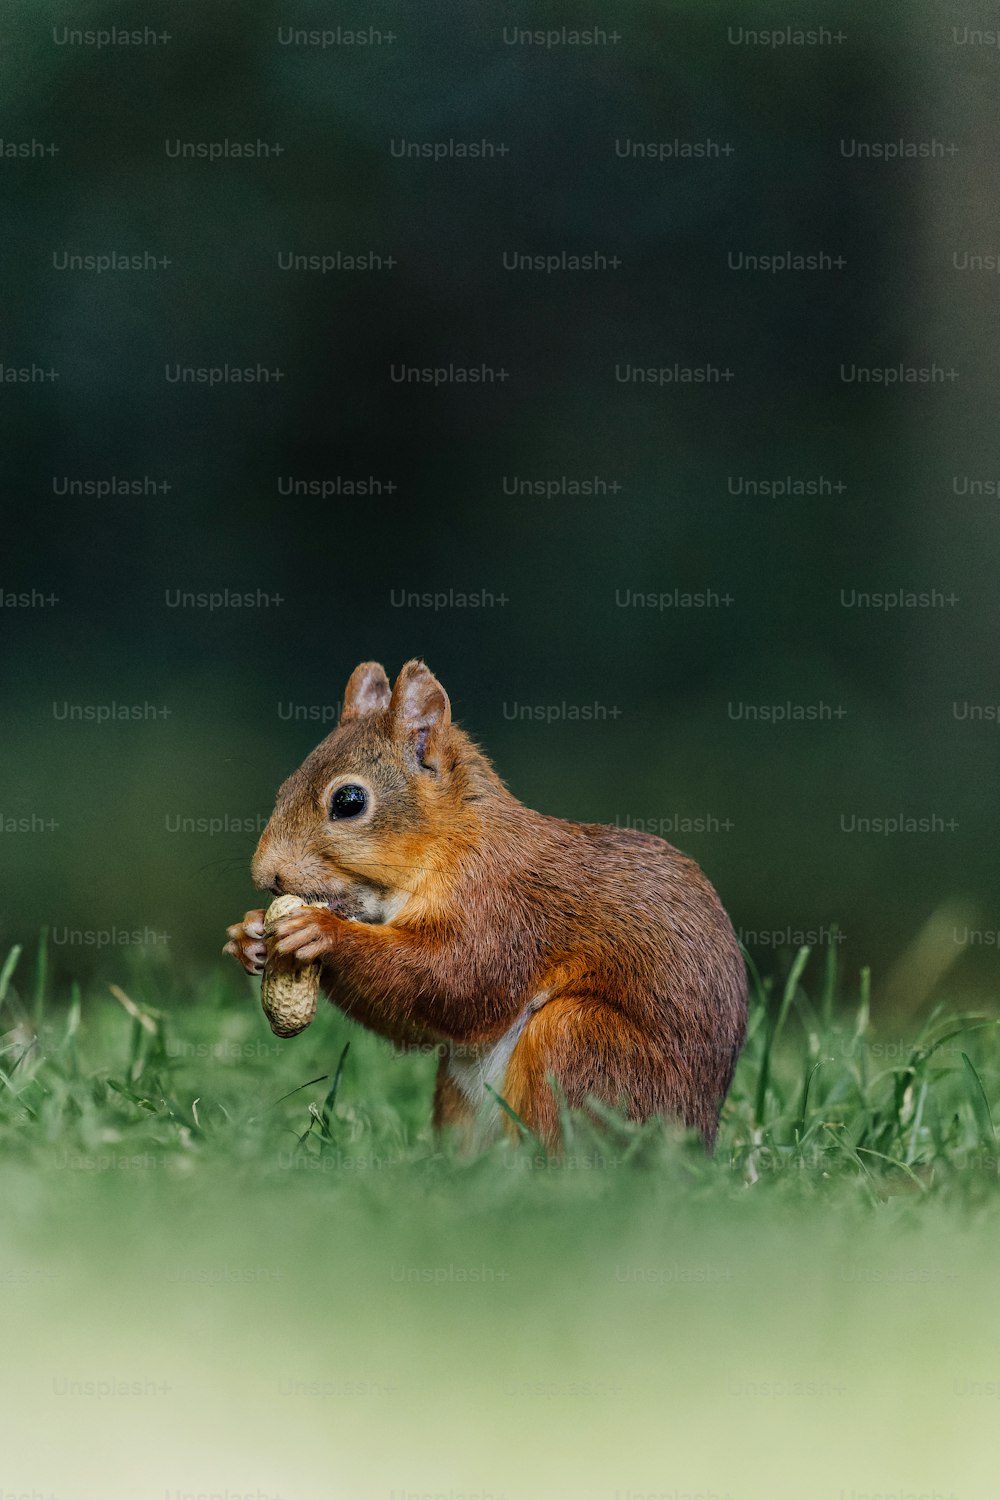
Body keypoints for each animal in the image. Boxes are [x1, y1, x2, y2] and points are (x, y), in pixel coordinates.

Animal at [223, 657, 746, 1146]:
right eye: (285, 788)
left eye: (349, 801)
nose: (265, 875)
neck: (450, 843)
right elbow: (421, 1025)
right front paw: (249, 934)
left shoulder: (502, 906)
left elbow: (461, 980)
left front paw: (323, 932)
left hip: (582, 1043)